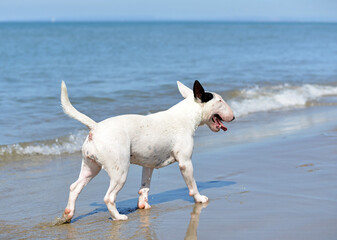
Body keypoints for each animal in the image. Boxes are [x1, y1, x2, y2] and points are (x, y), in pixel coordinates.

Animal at [60, 80, 232, 221]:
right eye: (220, 100)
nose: (234, 116)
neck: (187, 115)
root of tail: (95, 128)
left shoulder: (148, 164)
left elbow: (144, 186)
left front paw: (143, 206)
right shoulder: (185, 162)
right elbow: (192, 185)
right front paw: (199, 198)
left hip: (91, 167)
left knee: (74, 187)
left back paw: (68, 214)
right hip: (120, 171)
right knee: (108, 197)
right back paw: (118, 217)